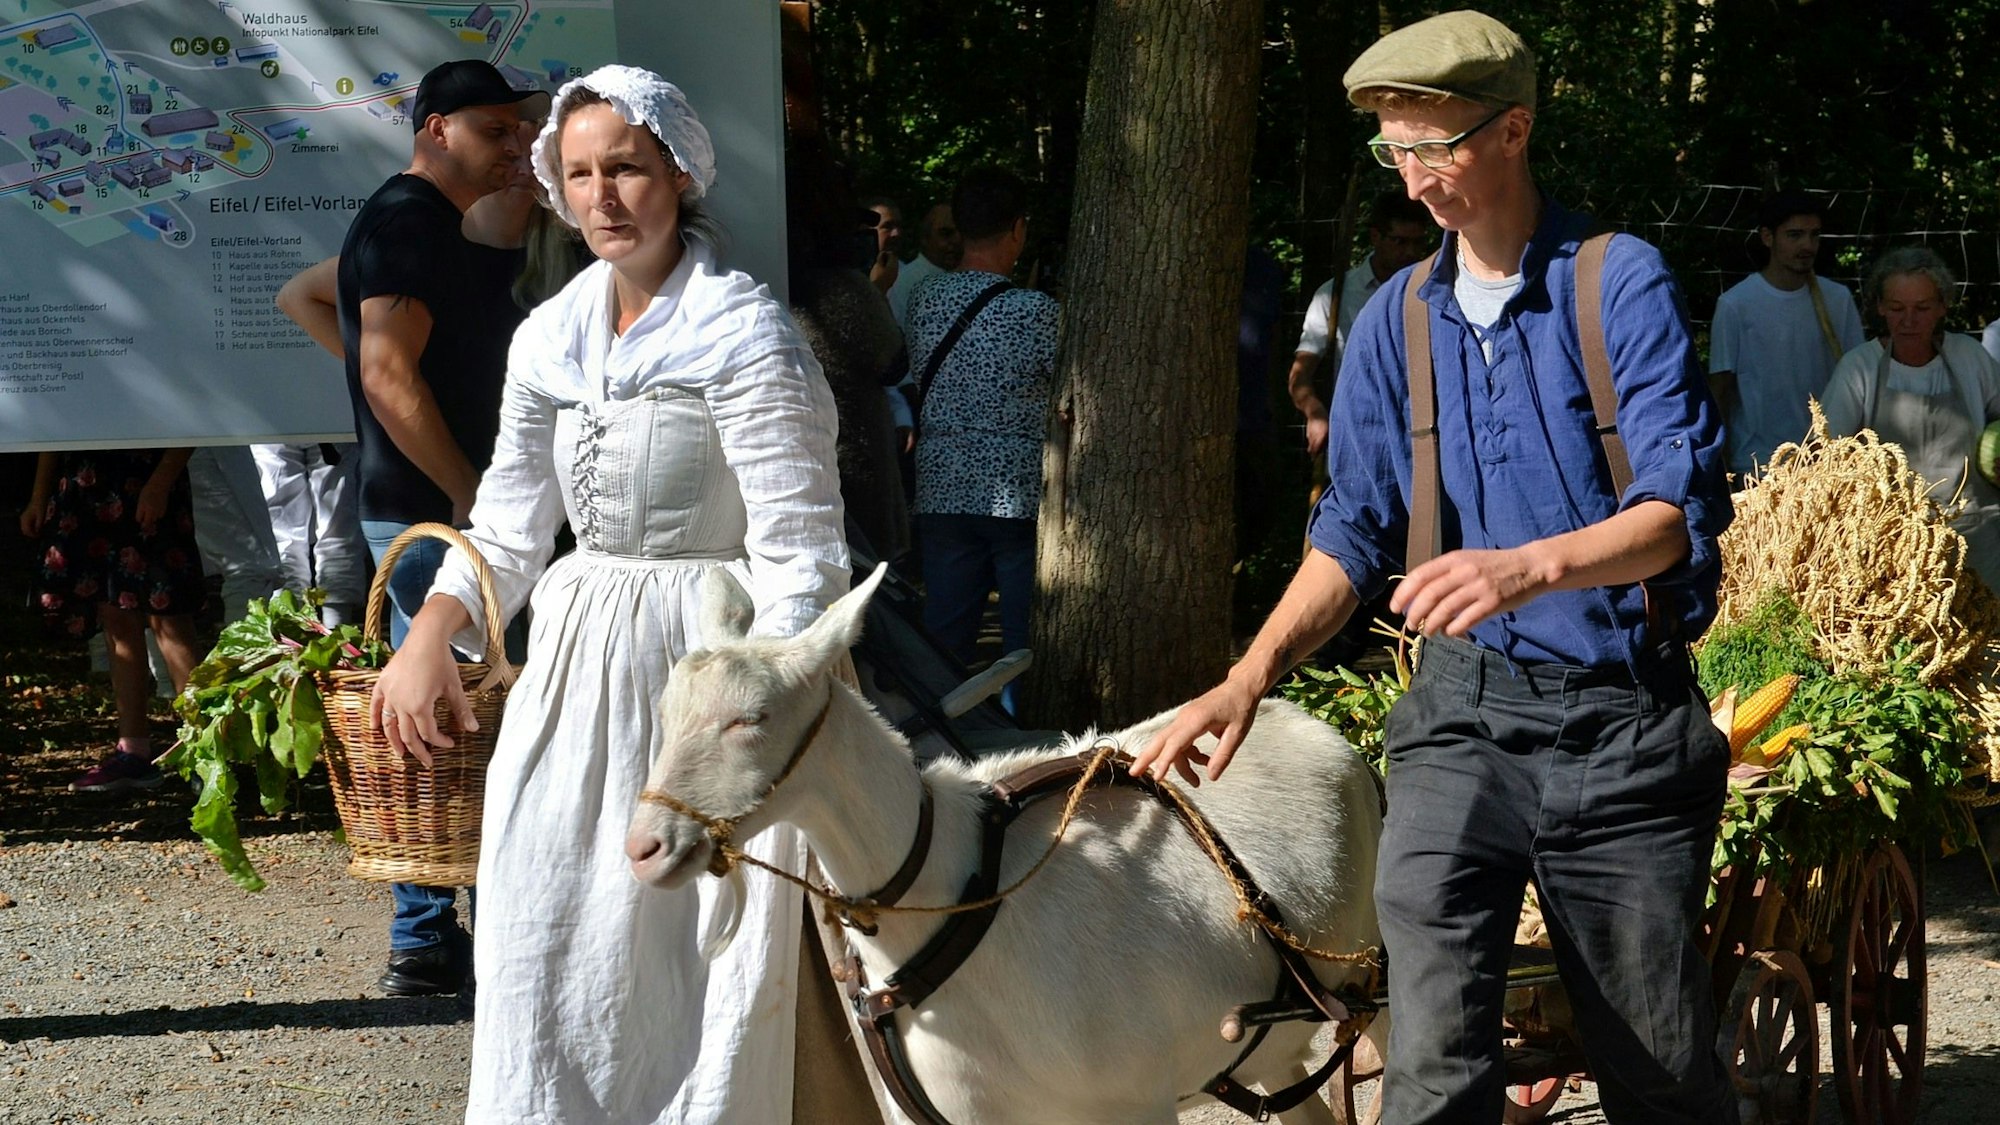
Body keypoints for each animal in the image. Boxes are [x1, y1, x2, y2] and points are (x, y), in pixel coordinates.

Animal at [625, 564, 1386, 1125]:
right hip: (1275, 1049)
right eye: (665, 710)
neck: (959, 898)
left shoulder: (1132, 1100)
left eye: (750, 718)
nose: (646, 846)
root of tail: (1317, 726)